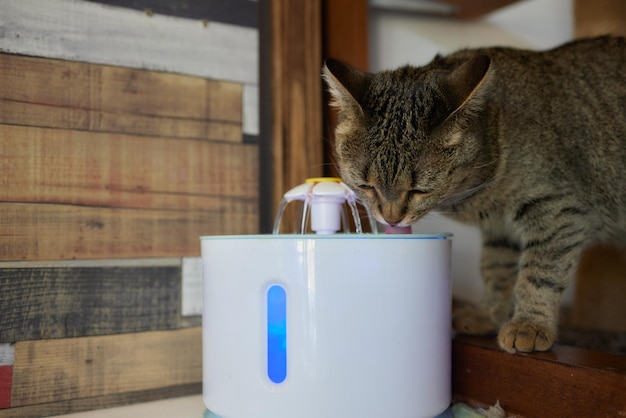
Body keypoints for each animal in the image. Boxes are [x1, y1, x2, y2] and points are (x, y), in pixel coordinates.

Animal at [322, 36, 624, 352]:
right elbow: (496, 269)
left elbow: (539, 273)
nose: (391, 218)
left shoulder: (557, 210)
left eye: (419, 190)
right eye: (366, 185)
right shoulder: (500, 229)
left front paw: (529, 324)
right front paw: (490, 314)